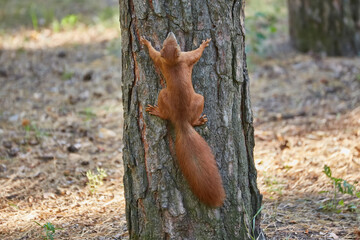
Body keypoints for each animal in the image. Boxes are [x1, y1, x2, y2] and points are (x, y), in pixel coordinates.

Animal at [141, 32, 225, 207]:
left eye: (172, 42)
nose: (171, 33)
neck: (172, 61)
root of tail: (181, 120)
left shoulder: (168, 59)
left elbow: (154, 55)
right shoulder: (182, 58)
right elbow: (195, 54)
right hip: (195, 98)